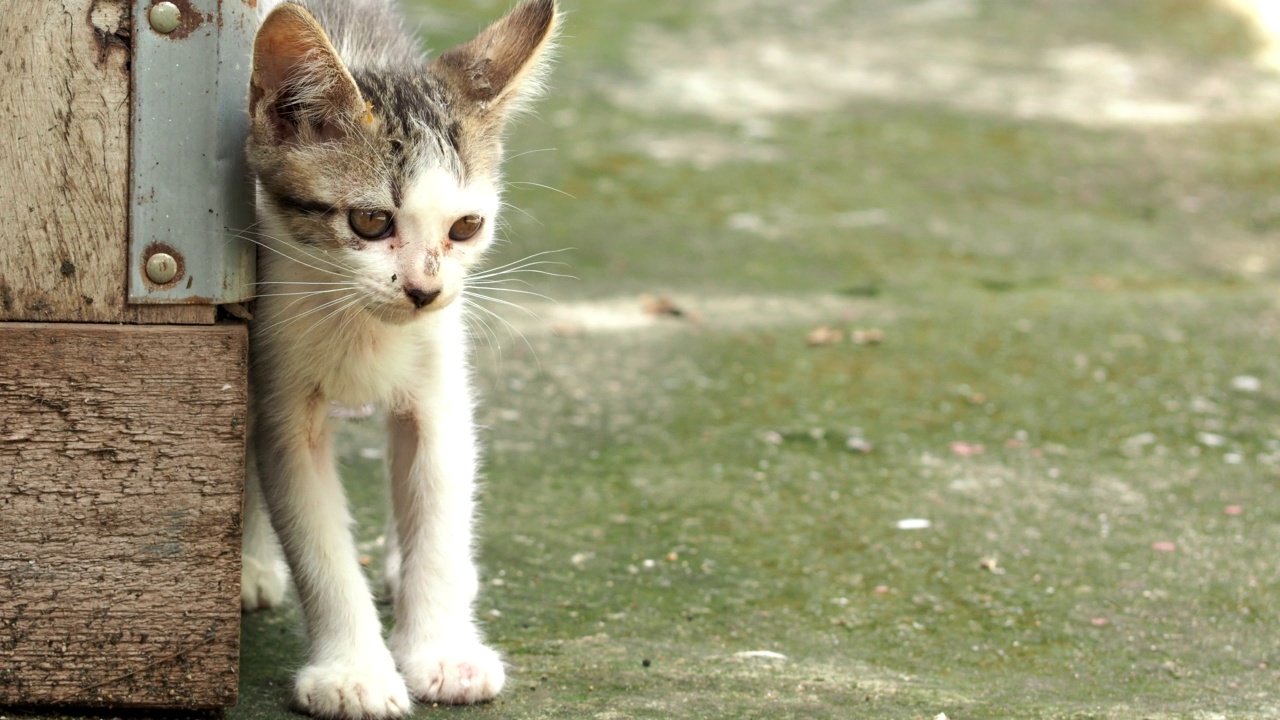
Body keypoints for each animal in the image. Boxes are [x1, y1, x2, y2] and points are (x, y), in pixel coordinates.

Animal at [240, 2, 560, 712]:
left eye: (466, 227)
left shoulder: (440, 384)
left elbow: (438, 502)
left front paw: (442, 651)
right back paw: (249, 562)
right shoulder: (279, 391)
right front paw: (353, 673)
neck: (362, 326)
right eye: (370, 222)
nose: (424, 290)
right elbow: (315, 536)